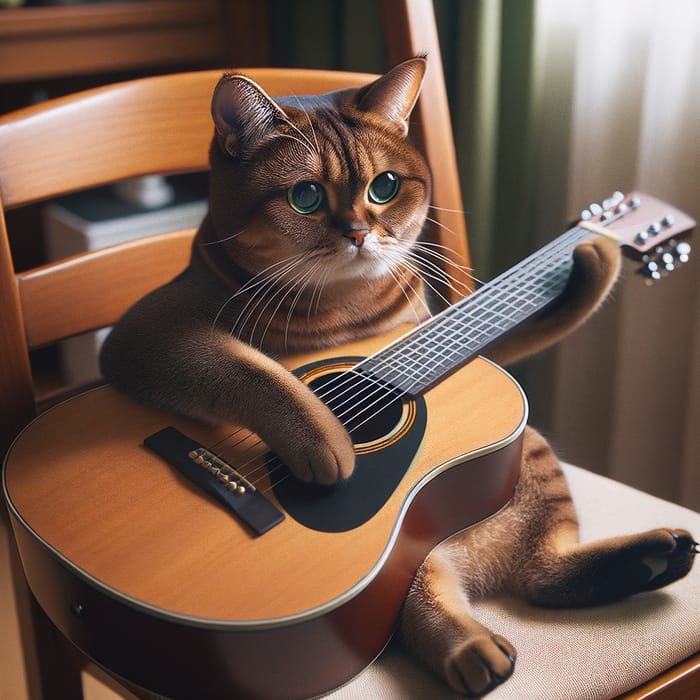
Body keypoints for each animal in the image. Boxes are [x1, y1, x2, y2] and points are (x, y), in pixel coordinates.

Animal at [101, 57, 696, 696]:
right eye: (305, 196)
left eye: (383, 188)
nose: (359, 233)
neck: (345, 304)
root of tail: (479, 561)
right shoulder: (145, 333)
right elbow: (251, 370)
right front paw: (325, 439)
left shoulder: (450, 324)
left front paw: (604, 243)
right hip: (410, 550)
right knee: (425, 598)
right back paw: (472, 648)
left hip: (531, 460)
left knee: (540, 576)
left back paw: (651, 558)